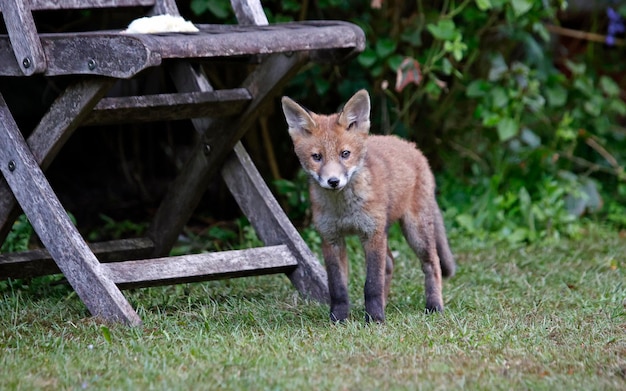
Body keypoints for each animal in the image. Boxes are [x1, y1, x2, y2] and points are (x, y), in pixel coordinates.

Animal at [282, 90, 454, 324]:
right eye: (316, 157)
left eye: (345, 154)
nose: (333, 181)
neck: (344, 210)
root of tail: (410, 146)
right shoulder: (331, 239)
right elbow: (337, 287)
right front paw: (338, 319)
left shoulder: (371, 235)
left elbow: (372, 284)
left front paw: (374, 319)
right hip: (388, 232)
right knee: (390, 262)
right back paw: (386, 302)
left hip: (415, 231)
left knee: (432, 263)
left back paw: (434, 306)